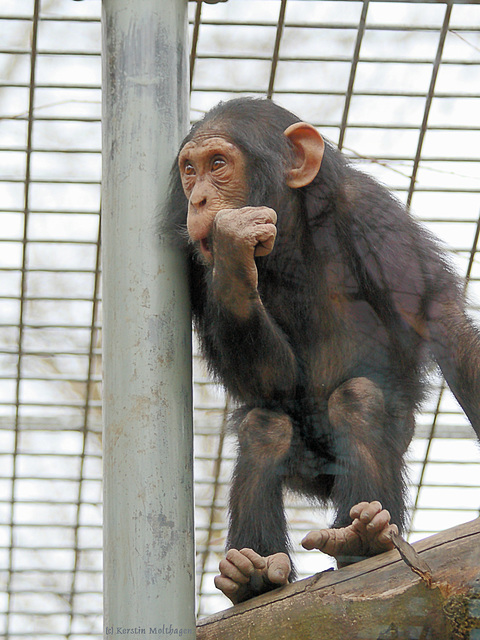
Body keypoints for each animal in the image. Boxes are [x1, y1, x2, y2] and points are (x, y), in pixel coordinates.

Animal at [164, 96, 480, 604]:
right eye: (189, 170)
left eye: (218, 165)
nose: (199, 200)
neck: (290, 231)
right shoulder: (191, 261)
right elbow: (270, 382)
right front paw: (233, 253)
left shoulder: (376, 216)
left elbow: (443, 322)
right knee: (264, 426)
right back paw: (251, 572)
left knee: (358, 400)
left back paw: (363, 537)